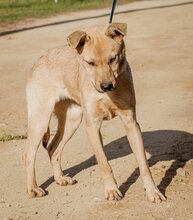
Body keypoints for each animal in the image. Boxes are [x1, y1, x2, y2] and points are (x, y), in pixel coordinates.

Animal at [23, 22, 166, 203]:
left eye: (112, 59)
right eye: (90, 63)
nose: (106, 86)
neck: (108, 94)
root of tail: (40, 59)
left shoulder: (131, 123)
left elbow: (144, 164)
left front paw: (153, 191)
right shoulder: (92, 126)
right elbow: (104, 164)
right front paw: (112, 190)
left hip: (72, 120)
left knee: (53, 148)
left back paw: (60, 179)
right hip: (40, 119)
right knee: (28, 154)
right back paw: (33, 188)